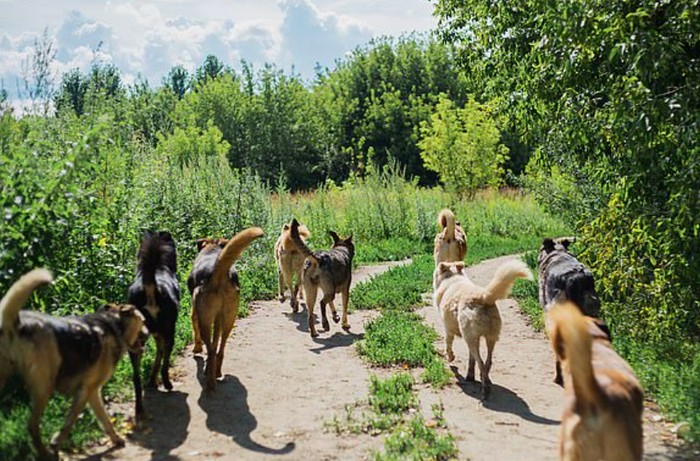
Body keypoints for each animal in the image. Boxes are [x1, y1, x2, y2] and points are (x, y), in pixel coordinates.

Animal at [0, 268, 146, 458]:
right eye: (143, 321)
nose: (148, 334)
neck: (113, 324)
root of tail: (15, 324)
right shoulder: (88, 391)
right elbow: (71, 422)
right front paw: (56, 442)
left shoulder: (92, 393)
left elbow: (105, 420)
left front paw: (116, 439)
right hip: (44, 389)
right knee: (32, 426)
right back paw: (46, 453)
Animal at [127, 230, 180, 416]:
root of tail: (151, 286)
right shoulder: (163, 333)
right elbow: (161, 358)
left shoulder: (157, 334)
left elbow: (157, 356)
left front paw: (151, 381)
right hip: (170, 331)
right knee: (165, 363)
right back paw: (168, 384)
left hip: (136, 341)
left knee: (136, 377)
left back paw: (139, 408)